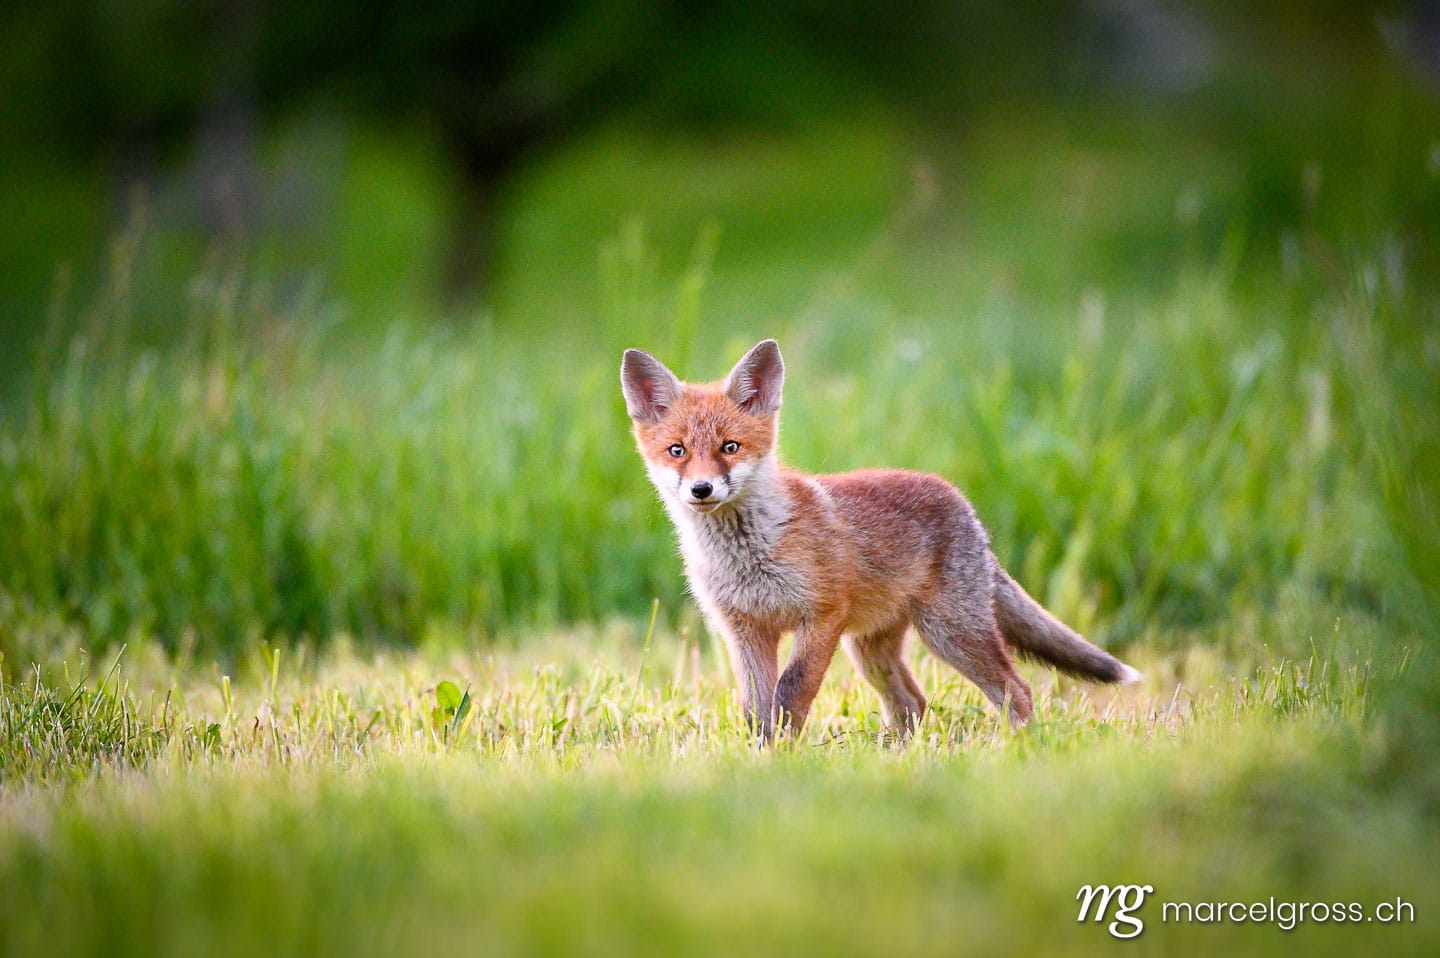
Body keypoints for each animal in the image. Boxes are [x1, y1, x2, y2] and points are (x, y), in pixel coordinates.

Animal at [621, 338, 1140, 739]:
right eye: (677, 451)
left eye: (730, 447)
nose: (701, 489)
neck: (750, 553)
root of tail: (964, 506)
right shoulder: (746, 630)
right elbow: (756, 710)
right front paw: (760, 757)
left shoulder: (822, 615)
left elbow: (791, 692)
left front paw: (784, 753)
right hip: (871, 649)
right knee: (913, 702)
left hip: (950, 632)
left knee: (1017, 689)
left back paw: (1018, 748)